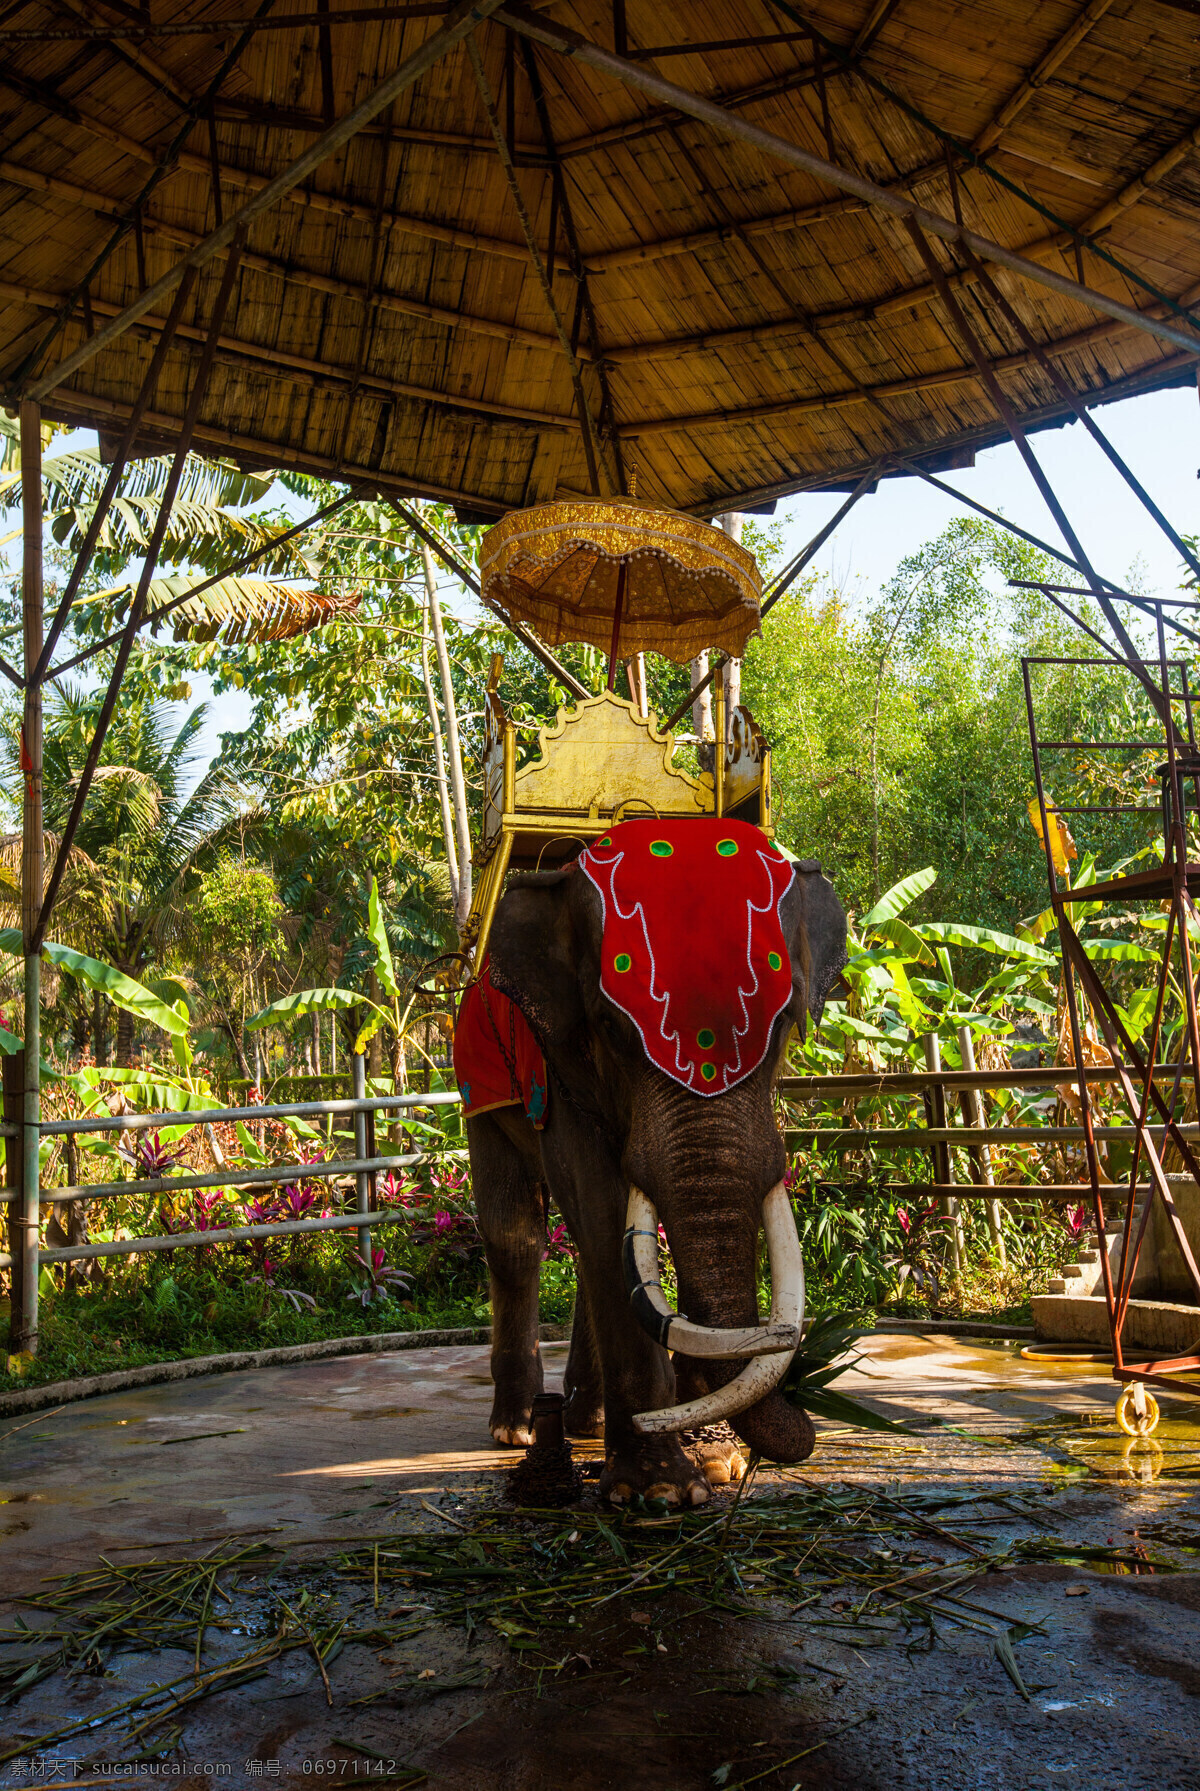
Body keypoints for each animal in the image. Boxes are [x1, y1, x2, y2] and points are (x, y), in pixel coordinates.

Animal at [462, 823, 845, 1511]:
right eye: (611, 1029)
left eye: (785, 1022)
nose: (804, 1406)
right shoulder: (556, 1061)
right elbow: (599, 1199)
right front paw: (658, 1491)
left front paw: (715, 1465)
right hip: (479, 1080)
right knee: (517, 1237)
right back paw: (518, 1428)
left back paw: (585, 1423)